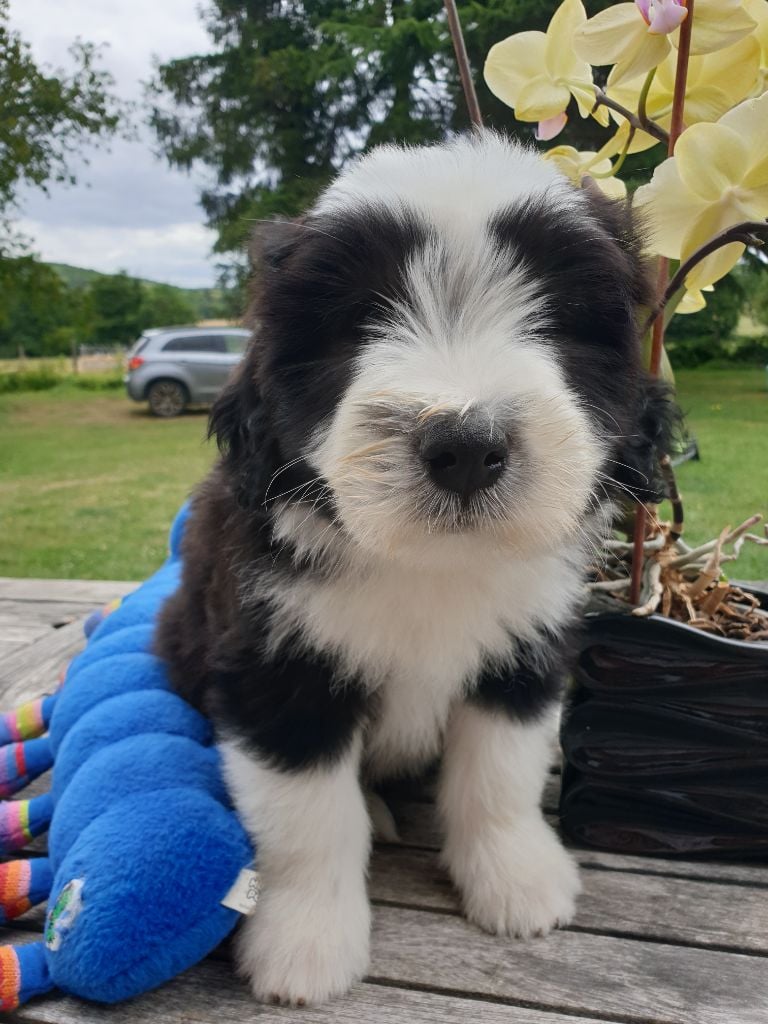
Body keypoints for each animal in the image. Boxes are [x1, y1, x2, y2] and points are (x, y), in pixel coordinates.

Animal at [154, 132, 667, 1003]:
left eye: (554, 315)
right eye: (359, 320)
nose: (464, 445)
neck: (430, 565)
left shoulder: (524, 649)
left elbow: (500, 775)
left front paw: (518, 881)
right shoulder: (275, 666)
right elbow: (307, 817)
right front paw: (306, 945)